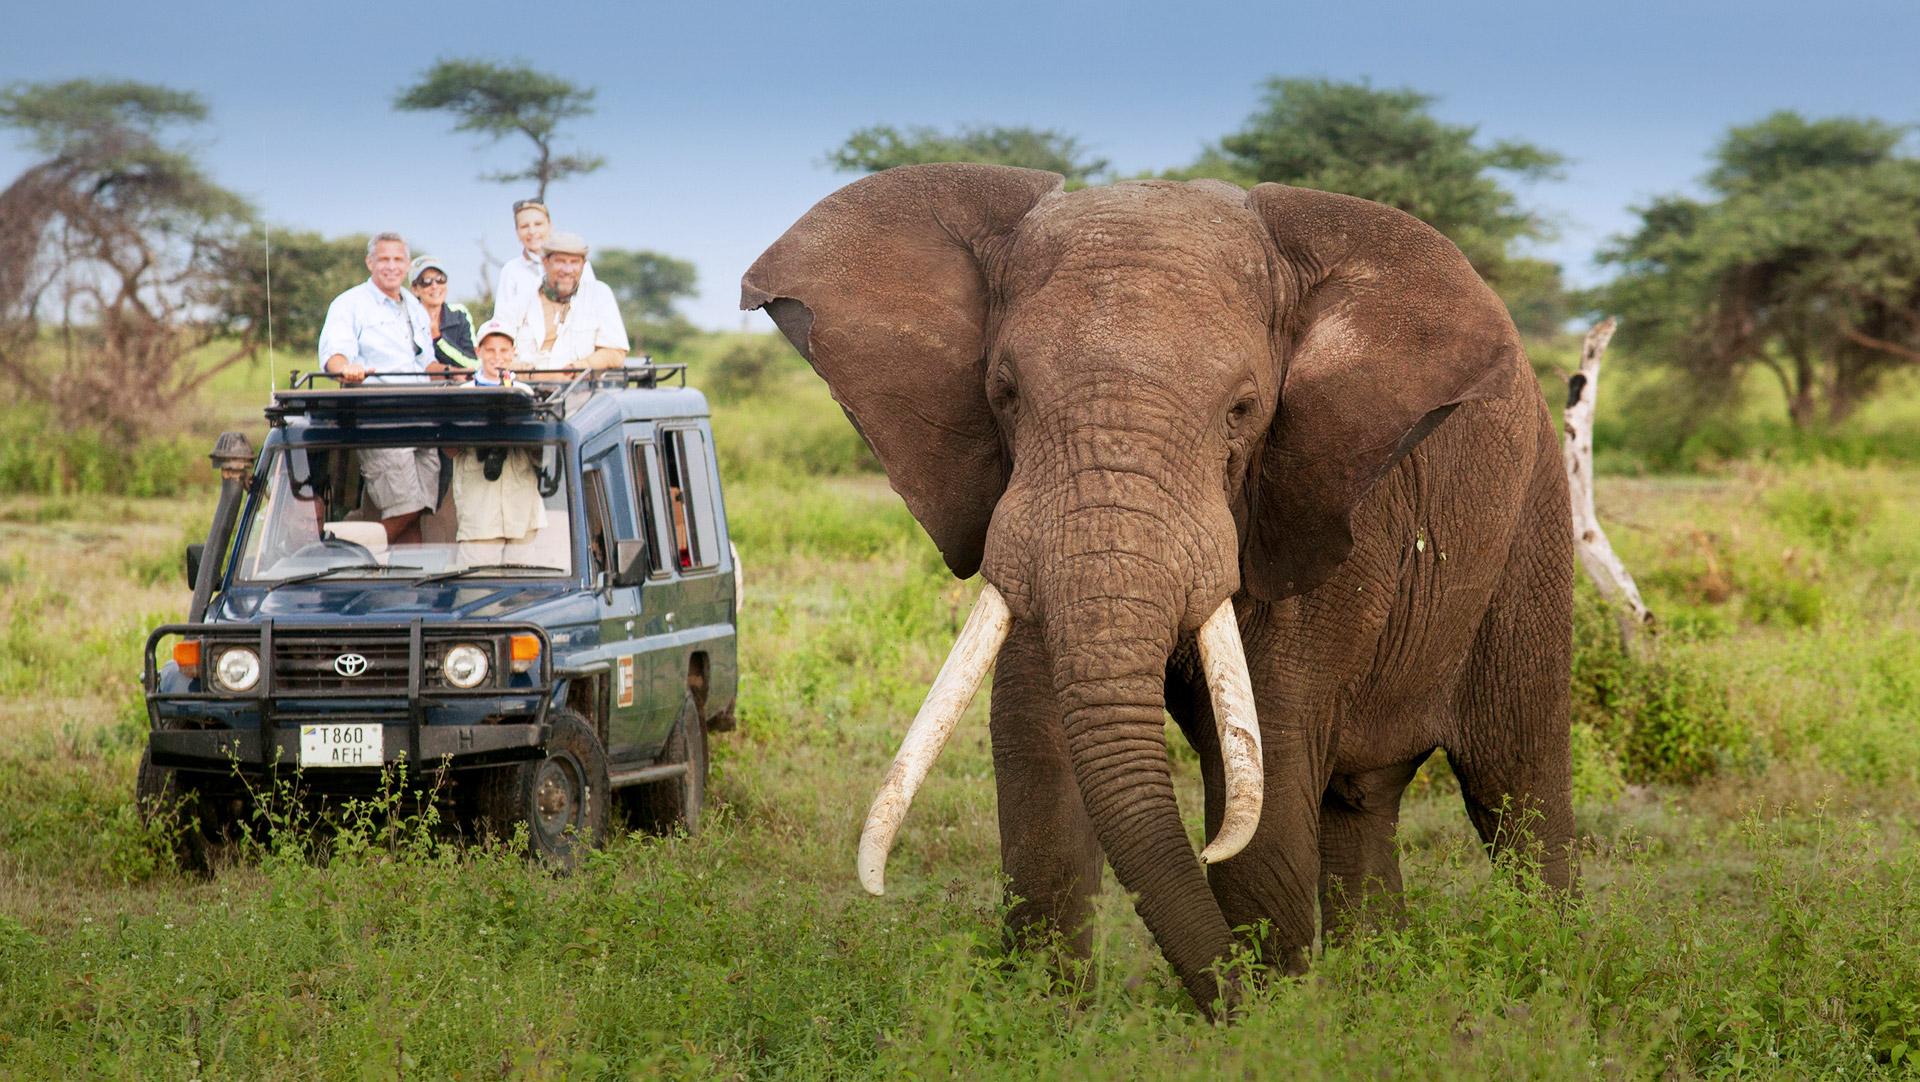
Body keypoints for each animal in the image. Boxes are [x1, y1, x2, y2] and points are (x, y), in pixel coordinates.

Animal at [737, 160, 1574, 1012]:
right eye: (1004, 394)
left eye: (1243, 409)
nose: (1237, 1002)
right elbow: (1037, 738)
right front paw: (1049, 1016)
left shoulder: (1327, 502)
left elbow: (1268, 763)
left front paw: (1276, 1020)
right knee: (1361, 801)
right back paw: (1379, 988)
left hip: (1533, 523)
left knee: (1517, 783)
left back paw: (1548, 969)